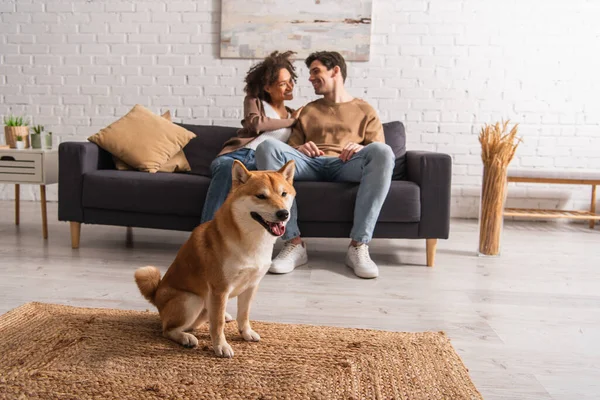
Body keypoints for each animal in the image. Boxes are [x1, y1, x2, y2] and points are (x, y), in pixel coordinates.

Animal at [135, 161, 296, 358]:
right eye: (261, 196)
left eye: (283, 194)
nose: (283, 213)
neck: (251, 241)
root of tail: (156, 296)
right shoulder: (220, 289)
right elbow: (217, 324)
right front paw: (221, 346)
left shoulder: (251, 285)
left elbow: (244, 314)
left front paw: (246, 333)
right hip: (192, 300)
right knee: (167, 330)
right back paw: (185, 337)